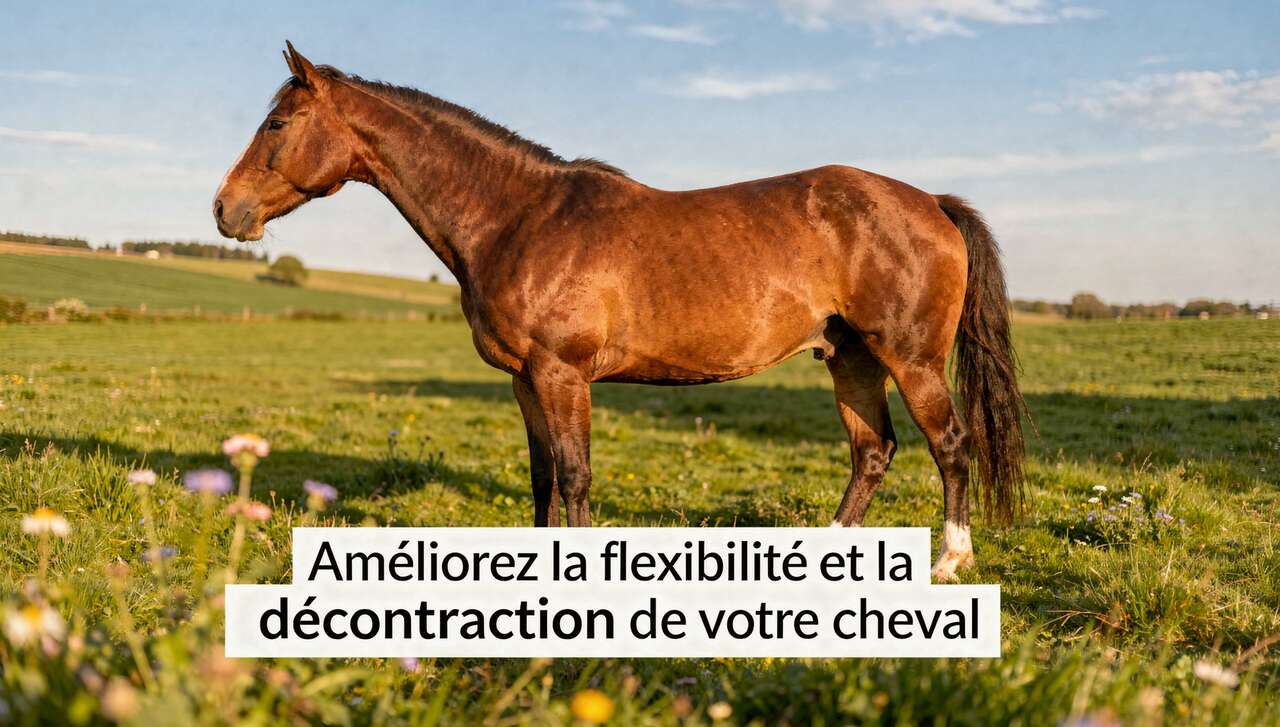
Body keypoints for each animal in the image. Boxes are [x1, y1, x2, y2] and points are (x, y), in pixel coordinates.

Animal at [214, 43, 1028, 581]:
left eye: (277, 124)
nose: (226, 210)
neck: (519, 216)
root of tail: (932, 203)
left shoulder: (563, 374)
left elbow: (575, 476)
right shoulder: (525, 380)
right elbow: (543, 475)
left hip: (909, 358)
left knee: (950, 444)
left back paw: (951, 561)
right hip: (851, 357)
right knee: (873, 452)